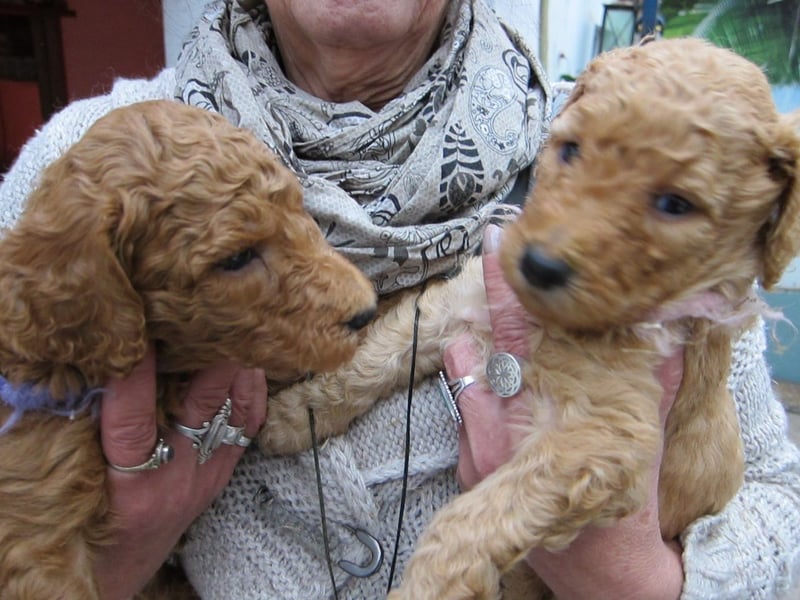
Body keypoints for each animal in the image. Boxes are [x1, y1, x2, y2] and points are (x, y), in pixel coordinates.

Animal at [258, 39, 800, 596]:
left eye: (676, 204)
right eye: (571, 149)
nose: (538, 266)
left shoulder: (605, 433)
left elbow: (478, 516)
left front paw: (425, 585)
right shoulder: (458, 304)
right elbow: (372, 362)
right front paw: (291, 416)